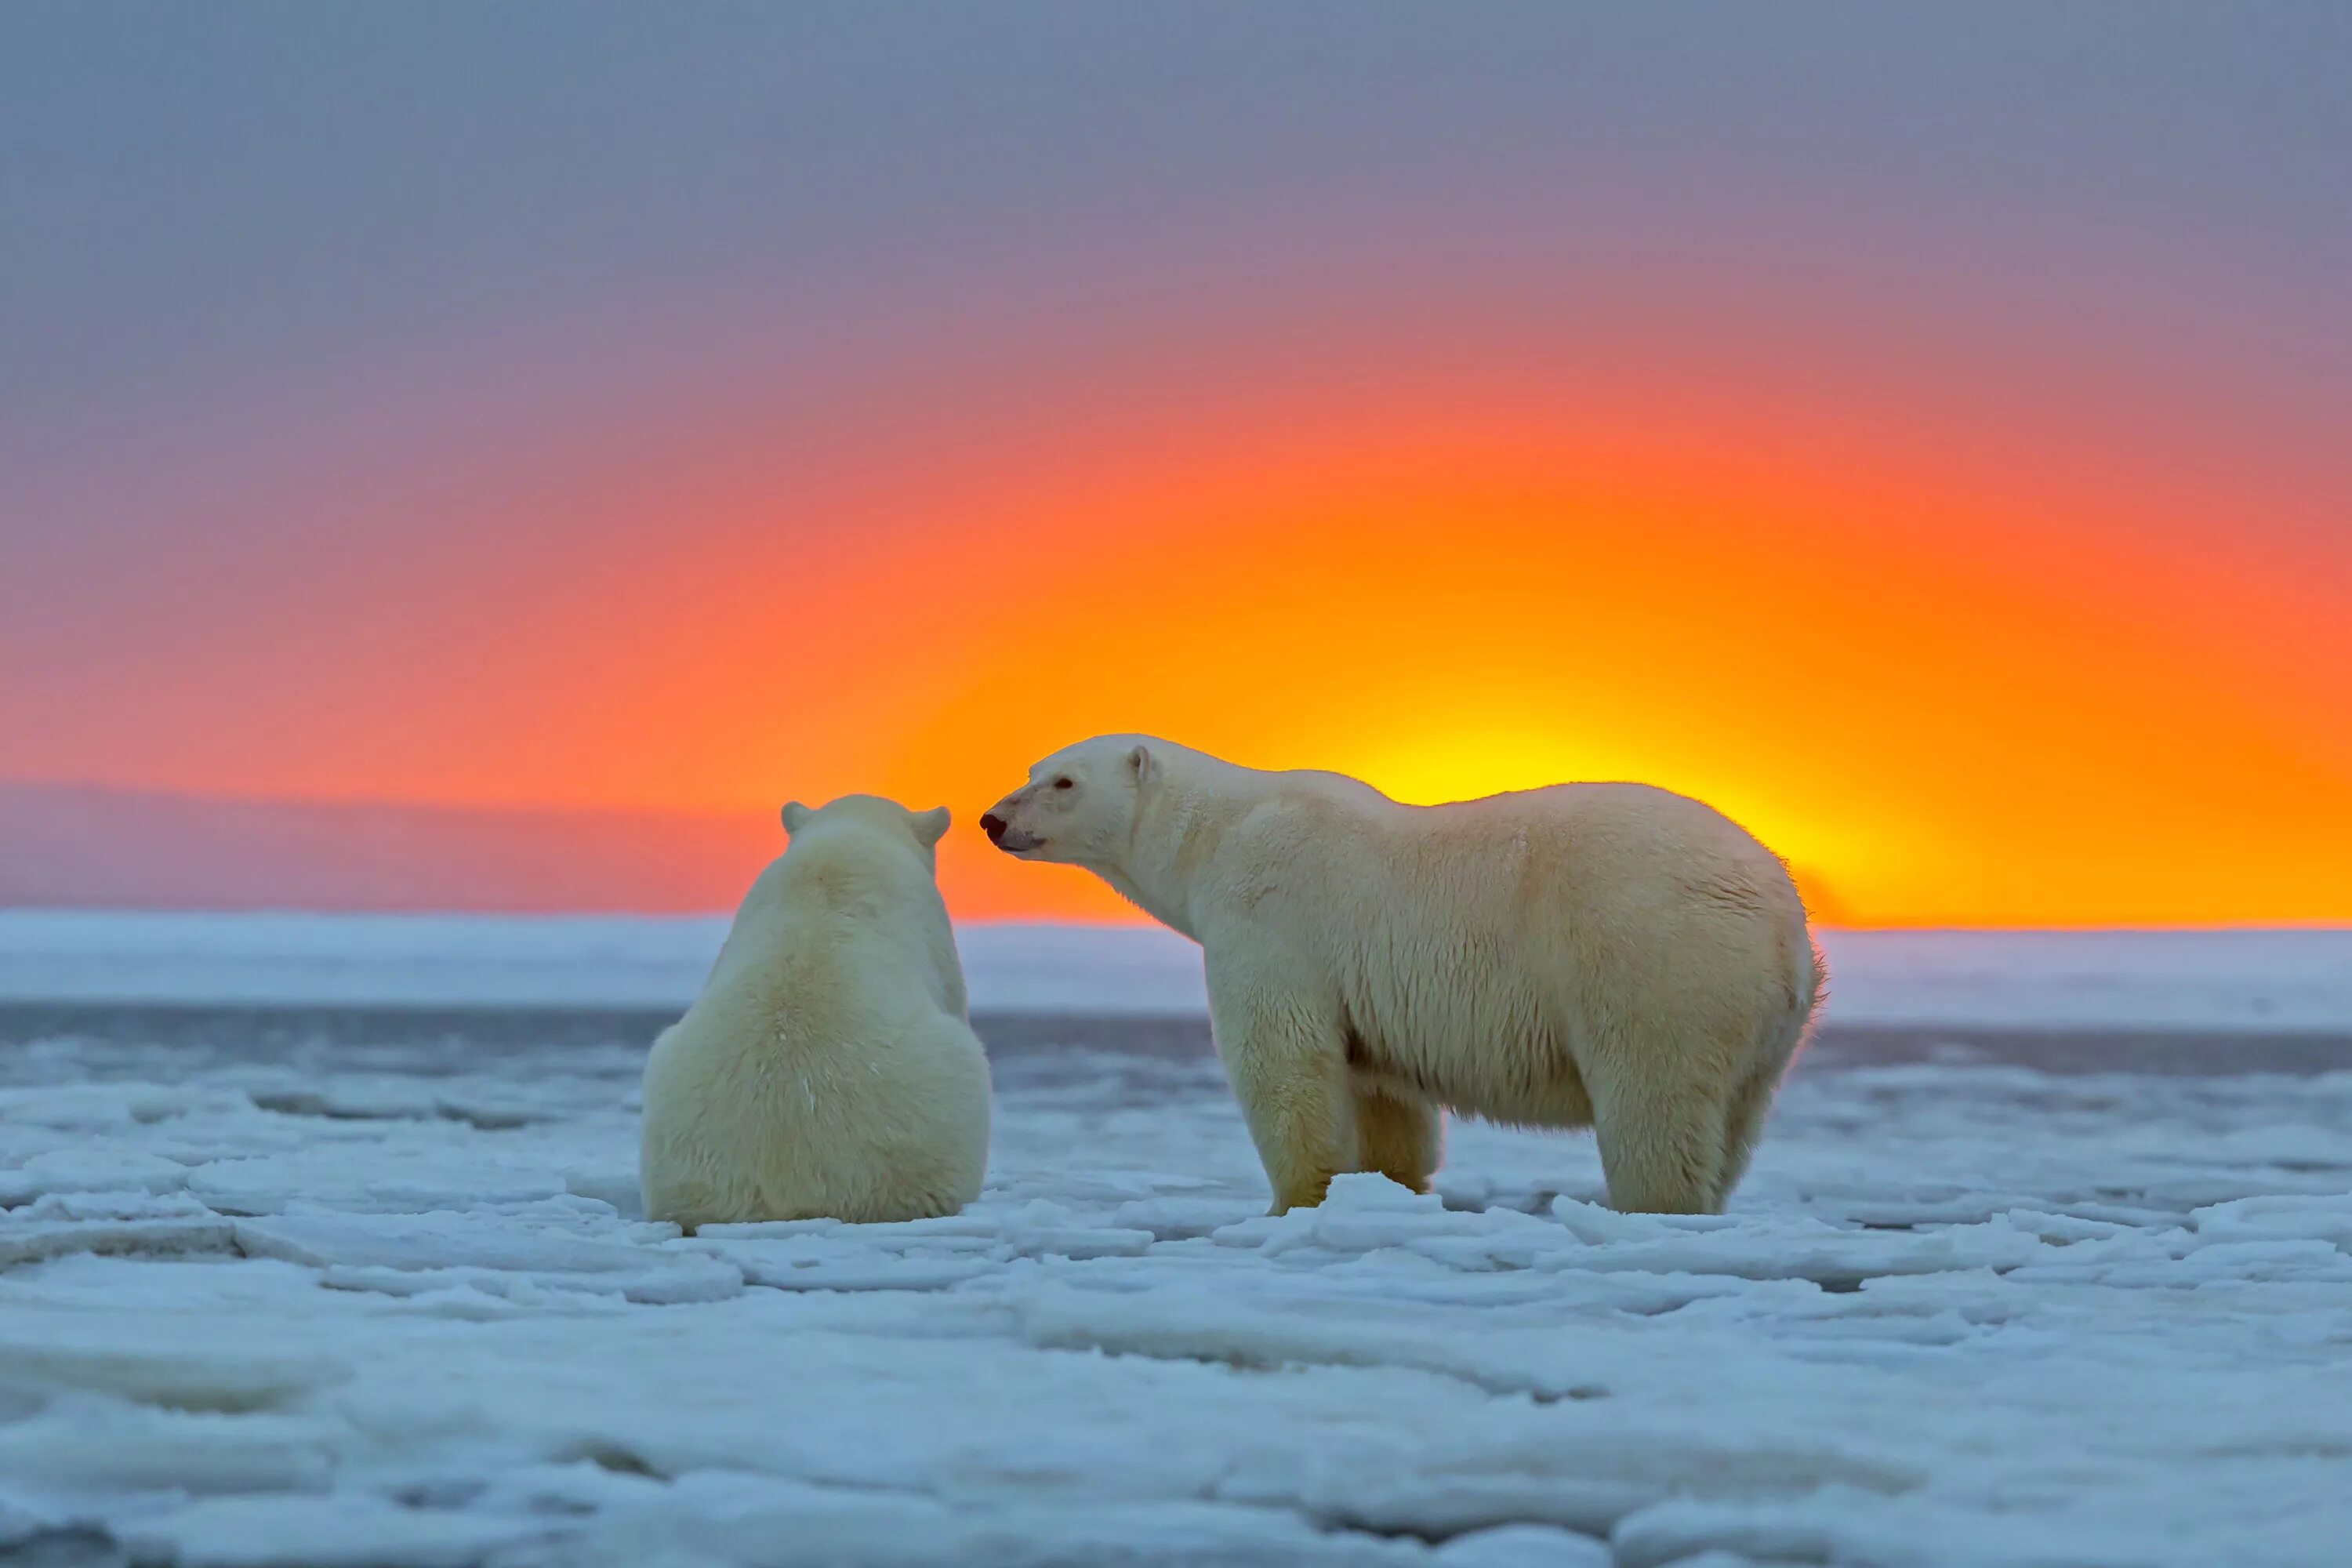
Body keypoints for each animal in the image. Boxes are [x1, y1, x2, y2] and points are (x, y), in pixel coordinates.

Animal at [974, 742, 1816, 1222]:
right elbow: (1383, 1095)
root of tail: (1781, 915)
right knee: (1734, 1121)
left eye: (1063, 781)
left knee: (1653, 1105)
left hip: (1652, 965)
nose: (991, 819)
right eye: (1031, 771)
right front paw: (1391, 1190)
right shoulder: (1368, 992)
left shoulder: (1273, 916)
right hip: (1762, 1025)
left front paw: (1290, 1204)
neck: (1220, 835)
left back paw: (1652, 1211)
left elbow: (1283, 1064)